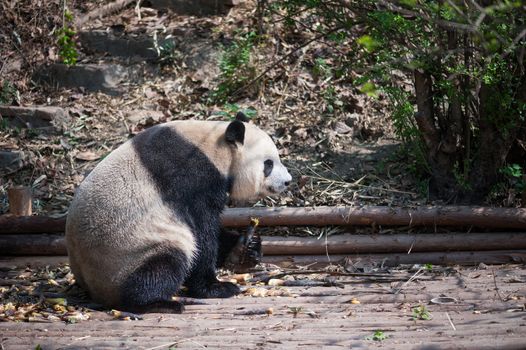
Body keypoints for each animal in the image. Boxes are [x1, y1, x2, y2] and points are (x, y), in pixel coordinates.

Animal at [66, 113, 292, 314]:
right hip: (129, 252)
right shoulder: (191, 178)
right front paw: (216, 287)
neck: (216, 149)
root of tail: (93, 289)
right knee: (163, 264)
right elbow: (201, 230)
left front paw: (246, 248)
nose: (287, 181)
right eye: (269, 164)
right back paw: (155, 303)